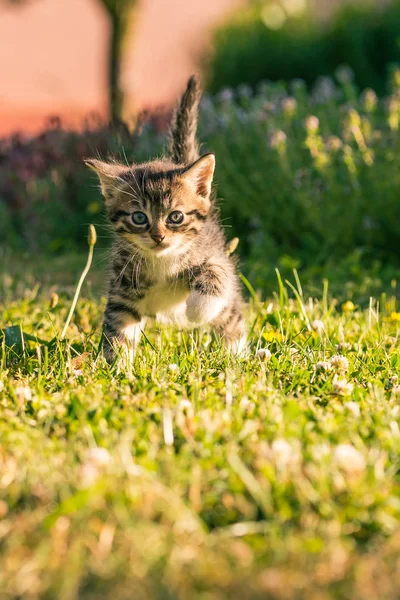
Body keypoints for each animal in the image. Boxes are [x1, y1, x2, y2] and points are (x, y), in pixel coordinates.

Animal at [86, 77, 245, 364]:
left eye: (175, 217)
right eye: (139, 217)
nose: (158, 236)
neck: (162, 261)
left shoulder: (215, 255)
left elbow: (217, 273)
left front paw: (198, 309)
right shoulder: (123, 288)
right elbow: (118, 326)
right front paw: (116, 365)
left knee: (231, 316)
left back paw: (236, 353)